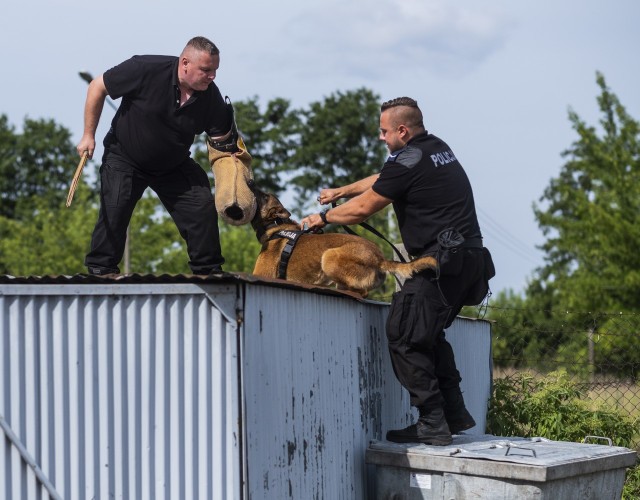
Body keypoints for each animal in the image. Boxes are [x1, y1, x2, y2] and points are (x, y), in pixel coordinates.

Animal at [249, 188, 436, 296]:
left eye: (264, 196)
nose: (250, 182)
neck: (275, 225)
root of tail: (379, 259)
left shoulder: (262, 274)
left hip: (329, 257)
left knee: (362, 292)